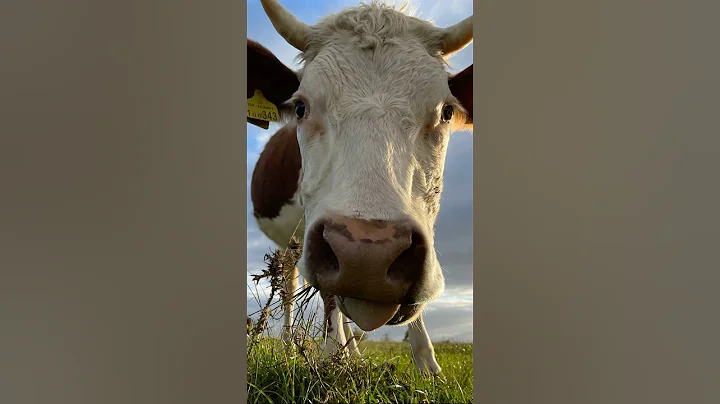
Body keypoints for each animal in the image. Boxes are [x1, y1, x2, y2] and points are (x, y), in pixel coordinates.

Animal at [248, 0, 472, 374]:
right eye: (300, 107)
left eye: (446, 111)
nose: (368, 256)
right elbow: (328, 295)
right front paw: (330, 357)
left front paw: (427, 364)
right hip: (293, 246)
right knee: (294, 285)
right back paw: (297, 346)